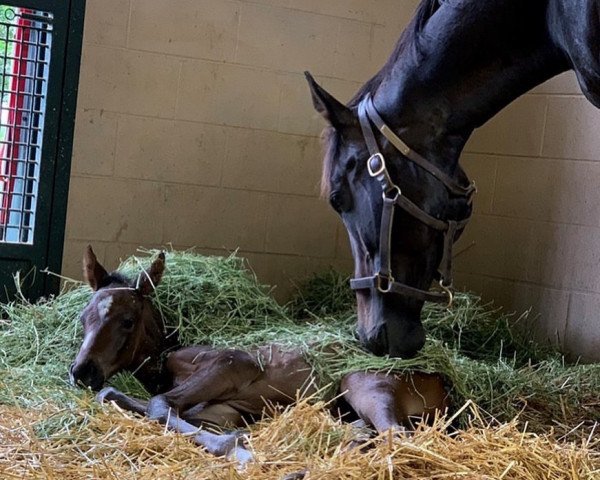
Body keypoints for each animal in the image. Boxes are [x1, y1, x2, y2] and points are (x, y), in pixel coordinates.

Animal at [70, 248, 448, 462]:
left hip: (362, 383)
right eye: (83, 317)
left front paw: (236, 448)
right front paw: (238, 439)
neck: (167, 361)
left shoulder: (231, 366)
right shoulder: (224, 411)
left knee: (396, 436)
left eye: (127, 320)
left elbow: (159, 404)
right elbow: (119, 396)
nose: (81, 371)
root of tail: (443, 384)